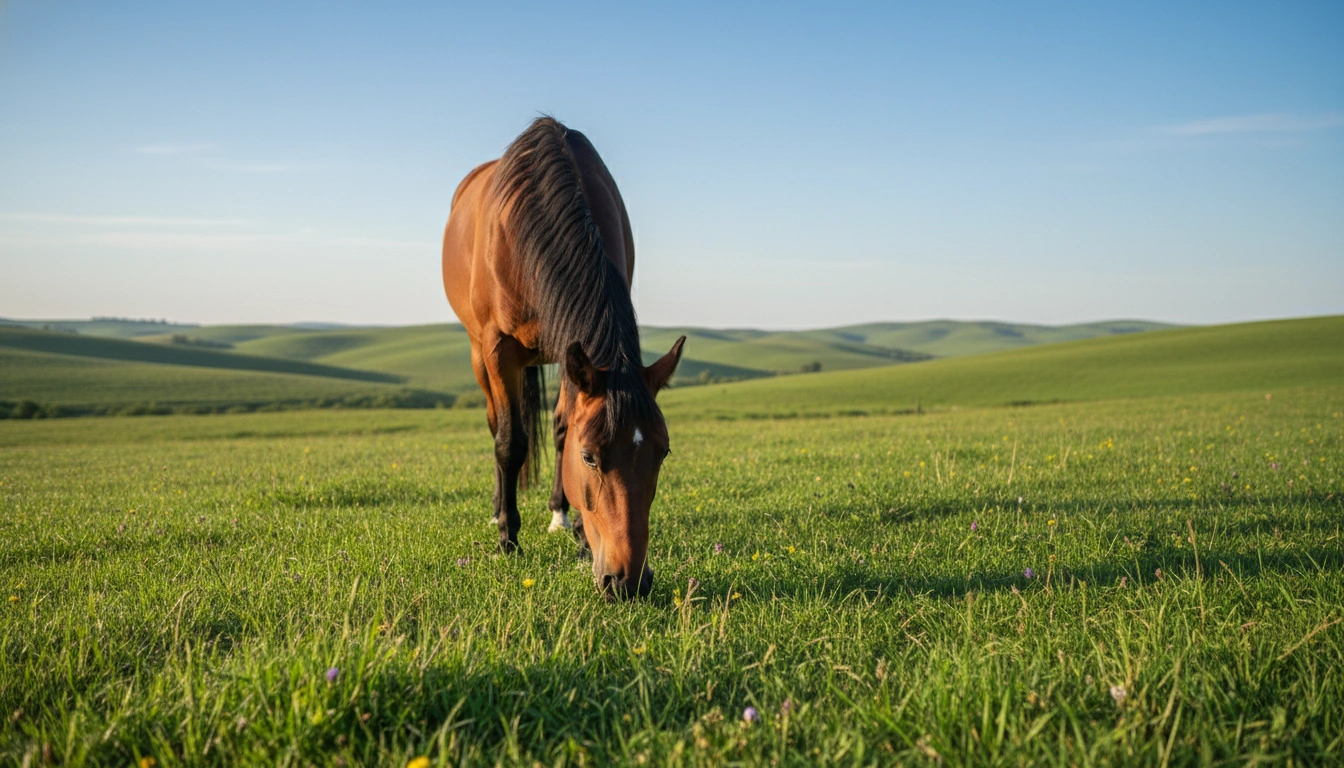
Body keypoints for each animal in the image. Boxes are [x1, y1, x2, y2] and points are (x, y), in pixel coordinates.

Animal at [441, 117, 685, 599]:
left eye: (663, 452)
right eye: (589, 458)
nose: (628, 582)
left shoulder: (574, 352)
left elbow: (561, 428)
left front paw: (576, 533)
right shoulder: (498, 347)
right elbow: (510, 442)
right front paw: (508, 539)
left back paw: (558, 515)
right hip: (481, 354)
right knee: (497, 425)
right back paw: (498, 509)